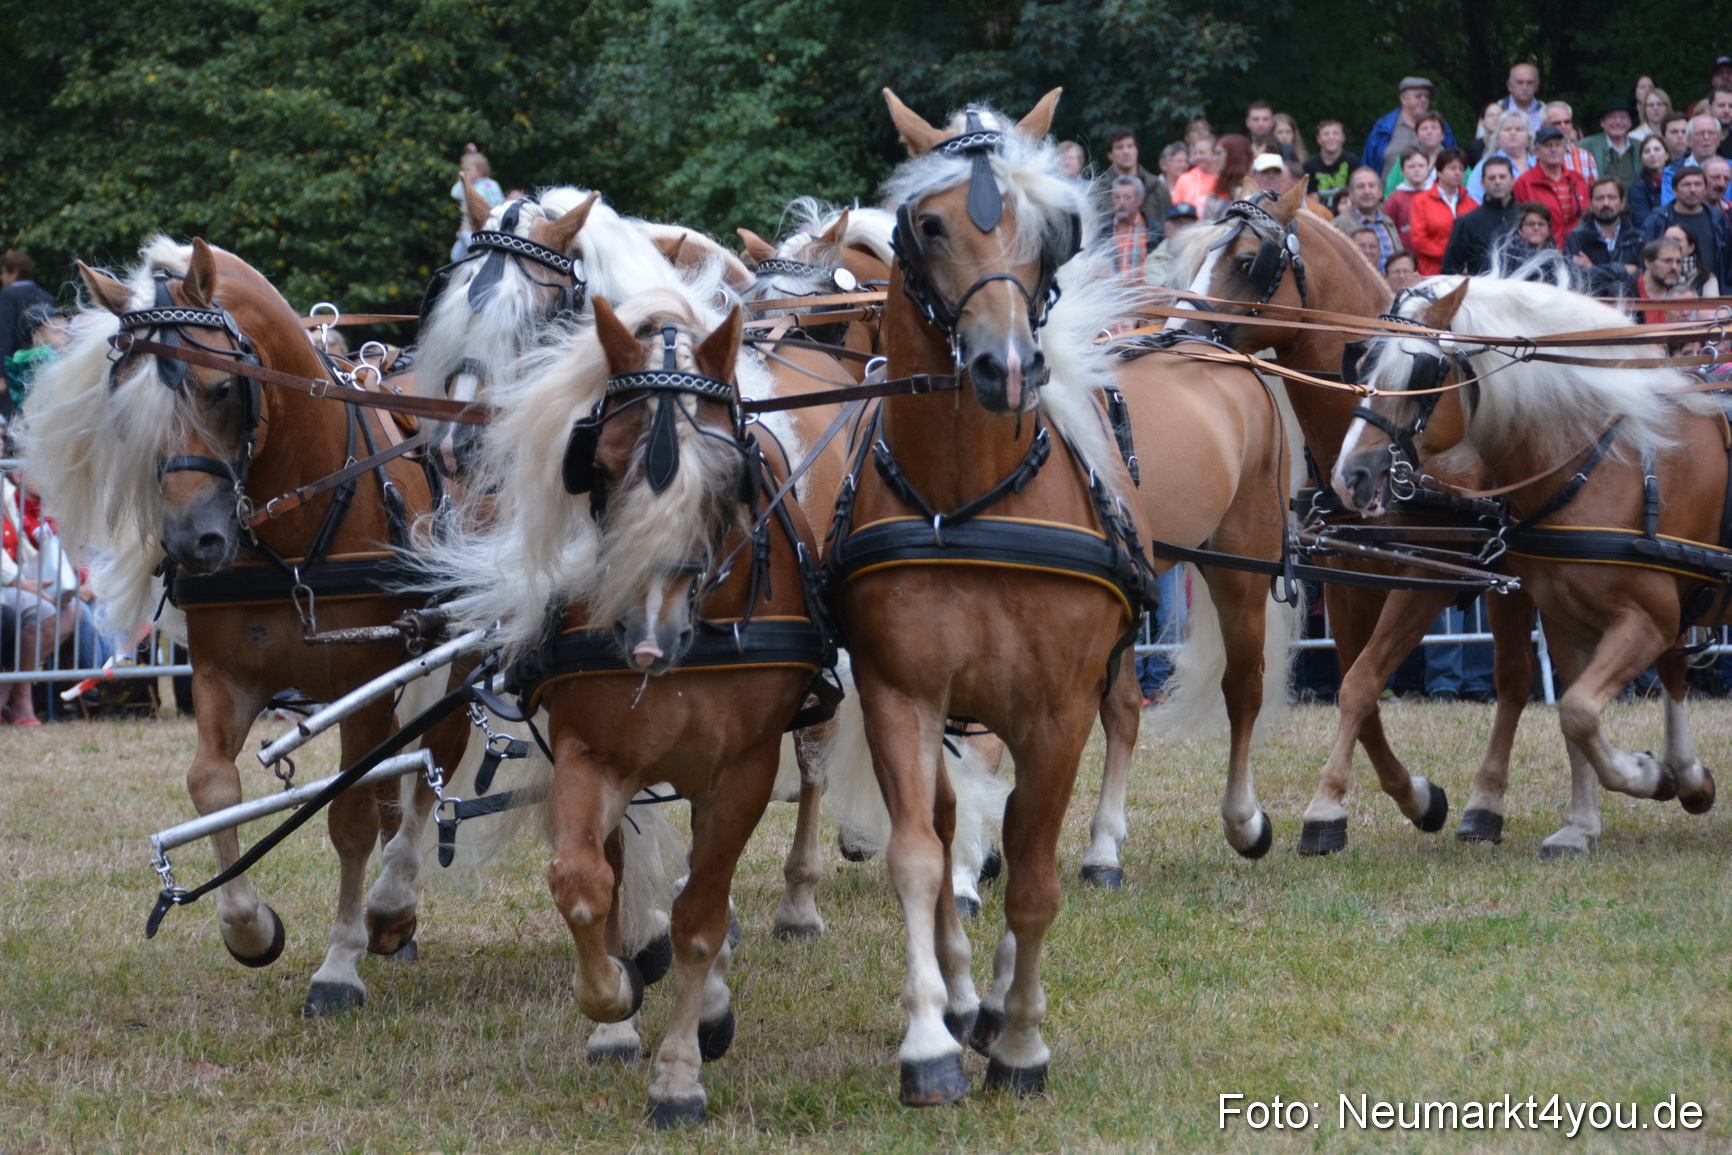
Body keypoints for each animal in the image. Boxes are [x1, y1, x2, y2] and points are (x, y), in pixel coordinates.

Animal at [22, 237, 474, 1015]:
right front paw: (250, 927)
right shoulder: (223, 676)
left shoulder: (365, 679)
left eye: (222, 390)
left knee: (431, 764)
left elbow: (350, 815)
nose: (191, 544)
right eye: (123, 412)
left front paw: (339, 964)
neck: (291, 534)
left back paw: (392, 902)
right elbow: (213, 789)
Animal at [421, 287, 828, 1127]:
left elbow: (701, 919)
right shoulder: (590, 753)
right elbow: (582, 884)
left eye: (725, 476)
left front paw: (680, 1068)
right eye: (599, 465)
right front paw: (615, 997)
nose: (644, 641)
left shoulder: (744, 770)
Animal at [819, 88, 1291, 1106]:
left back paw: (1239, 820)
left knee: (1237, 689)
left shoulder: (1055, 707)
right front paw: (933, 1033)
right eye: (928, 224)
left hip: (1236, 570)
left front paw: (1022, 1039)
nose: (1006, 367)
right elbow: (921, 855)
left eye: (1054, 230)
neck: (969, 498)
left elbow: (1033, 876)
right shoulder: (899, 694)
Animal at [1161, 180, 1540, 852]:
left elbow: (1361, 683)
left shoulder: (1430, 576)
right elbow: (1358, 691)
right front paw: (1414, 798)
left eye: (1246, 261)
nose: (1176, 334)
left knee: (1519, 676)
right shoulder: (1345, 578)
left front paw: (1325, 809)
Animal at [1331, 272, 1719, 854]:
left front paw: (1646, 775)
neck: (1598, 465)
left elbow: (1577, 710)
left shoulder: (1648, 617)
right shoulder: (1562, 617)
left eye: (1422, 376)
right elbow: (1573, 717)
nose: (1348, 476)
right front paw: (1583, 825)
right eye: (1361, 364)